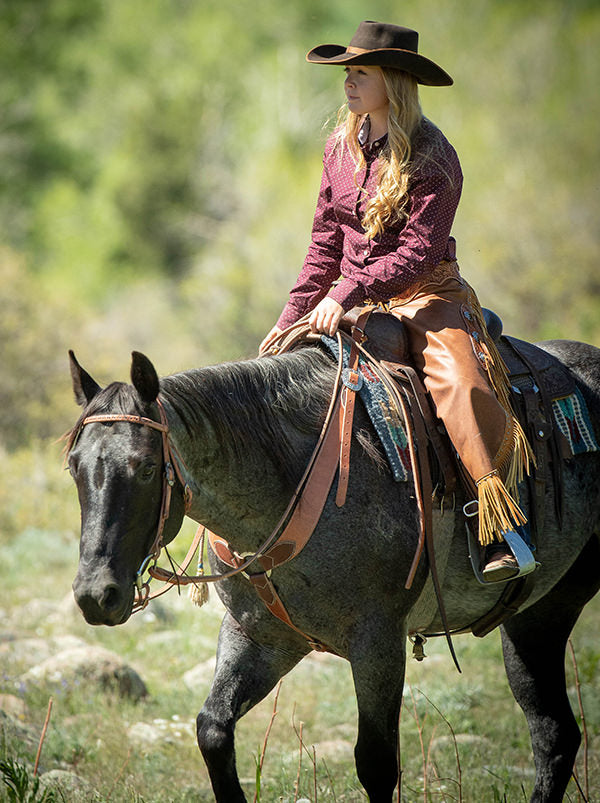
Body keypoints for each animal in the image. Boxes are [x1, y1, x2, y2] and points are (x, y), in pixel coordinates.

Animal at [65, 334, 600, 803]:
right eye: (74, 466)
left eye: (146, 468)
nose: (96, 595)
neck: (294, 483)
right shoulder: (260, 638)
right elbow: (213, 731)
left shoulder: (378, 644)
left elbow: (376, 764)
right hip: (536, 616)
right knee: (554, 735)